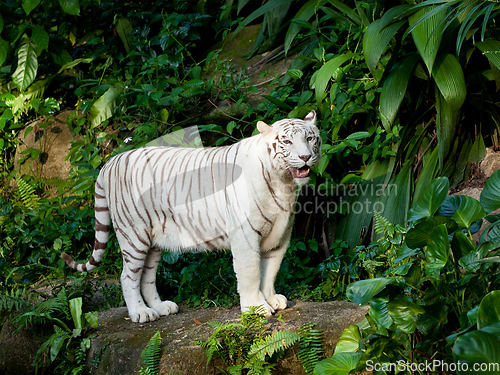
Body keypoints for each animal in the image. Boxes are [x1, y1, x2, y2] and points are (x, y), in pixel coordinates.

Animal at [61, 111, 320, 324]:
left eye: (310, 139)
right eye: (287, 142)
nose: (305, 157)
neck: (283, 183)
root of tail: (110, 162)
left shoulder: (280, 236)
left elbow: (270, 272)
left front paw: (271, 299)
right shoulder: (245, 236)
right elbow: (251, 273)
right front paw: (256, 308)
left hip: (154, 240)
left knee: (146, 276)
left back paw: (161, 308)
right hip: (134, 234)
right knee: (127, 276)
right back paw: (140, 313)